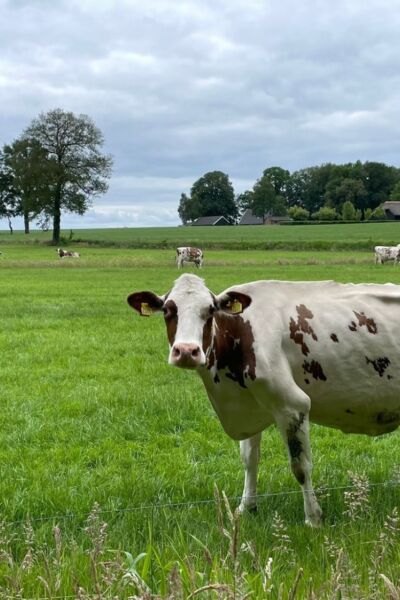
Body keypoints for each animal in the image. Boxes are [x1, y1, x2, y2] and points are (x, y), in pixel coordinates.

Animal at [127, 274, 400, 528]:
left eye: (210, 310)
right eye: (168, 310)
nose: (186, 351)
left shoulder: (292, 406)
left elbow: (301, 466)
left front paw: (313, 519)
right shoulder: (249, 405)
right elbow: (250, 460)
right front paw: (245, 508)